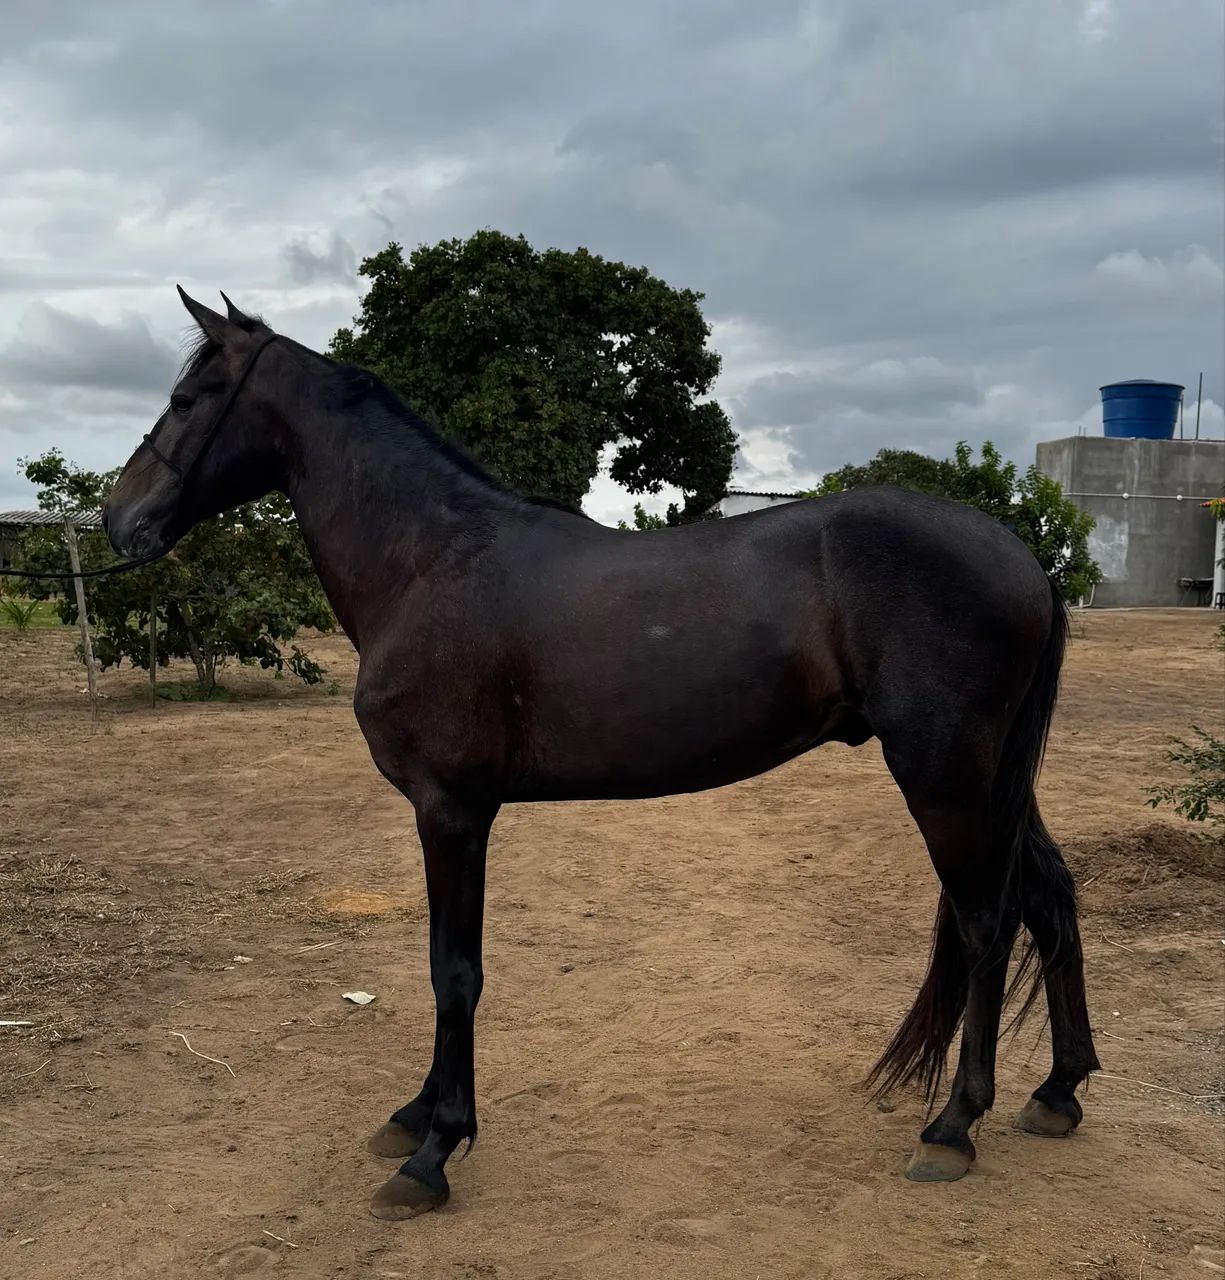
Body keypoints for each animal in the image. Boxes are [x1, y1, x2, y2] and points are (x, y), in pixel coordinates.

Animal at [103, 288, 1099, 1221]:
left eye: (187, 399)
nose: (118, 519)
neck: (430, 563)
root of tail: (1021, 555)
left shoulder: (450, 811)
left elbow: (452, 972)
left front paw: (434, 1152)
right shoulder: (452, 814)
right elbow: (445, 966)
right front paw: (413, 1116)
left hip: (944, 778)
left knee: (986, 923)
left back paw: (953, 1127)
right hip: (993, 782)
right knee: (1047, 899)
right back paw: (1057, 1093)